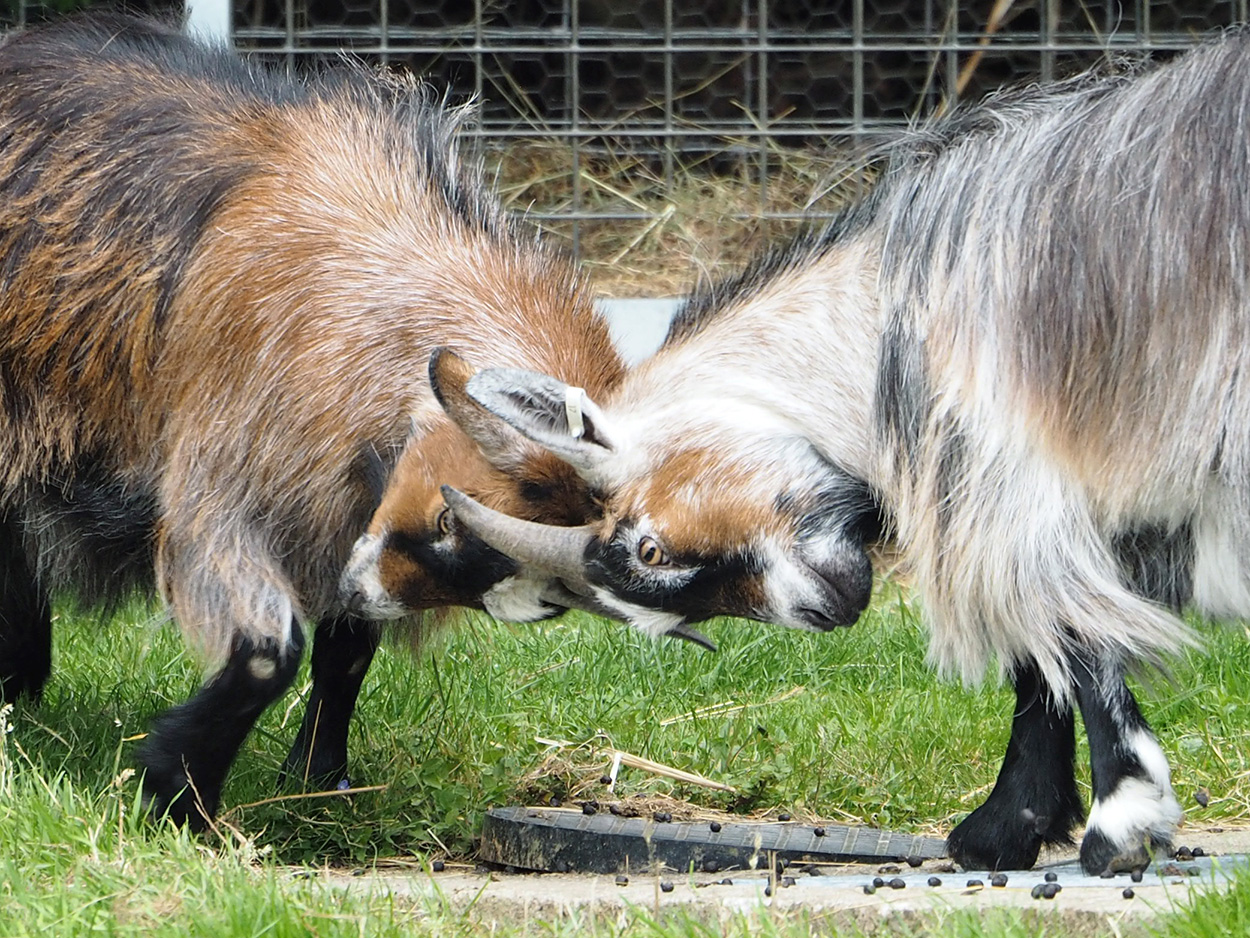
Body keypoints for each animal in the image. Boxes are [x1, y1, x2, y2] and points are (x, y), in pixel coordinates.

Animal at [0, 12, 622, 827]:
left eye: (542, 598)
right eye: (452, 519)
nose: (356, 592)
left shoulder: (350, 510)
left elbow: (345, 650)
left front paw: (319, 778)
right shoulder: (220, 479)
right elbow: (271, 650)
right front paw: (176, 791)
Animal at [434, 31, 1250, 874]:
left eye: (648, 548)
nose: (822, 611)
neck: (882, 307)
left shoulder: (1009, 463)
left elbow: (1067, 634)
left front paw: (1119, 825)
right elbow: (1048, 647)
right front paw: (1005, 828)